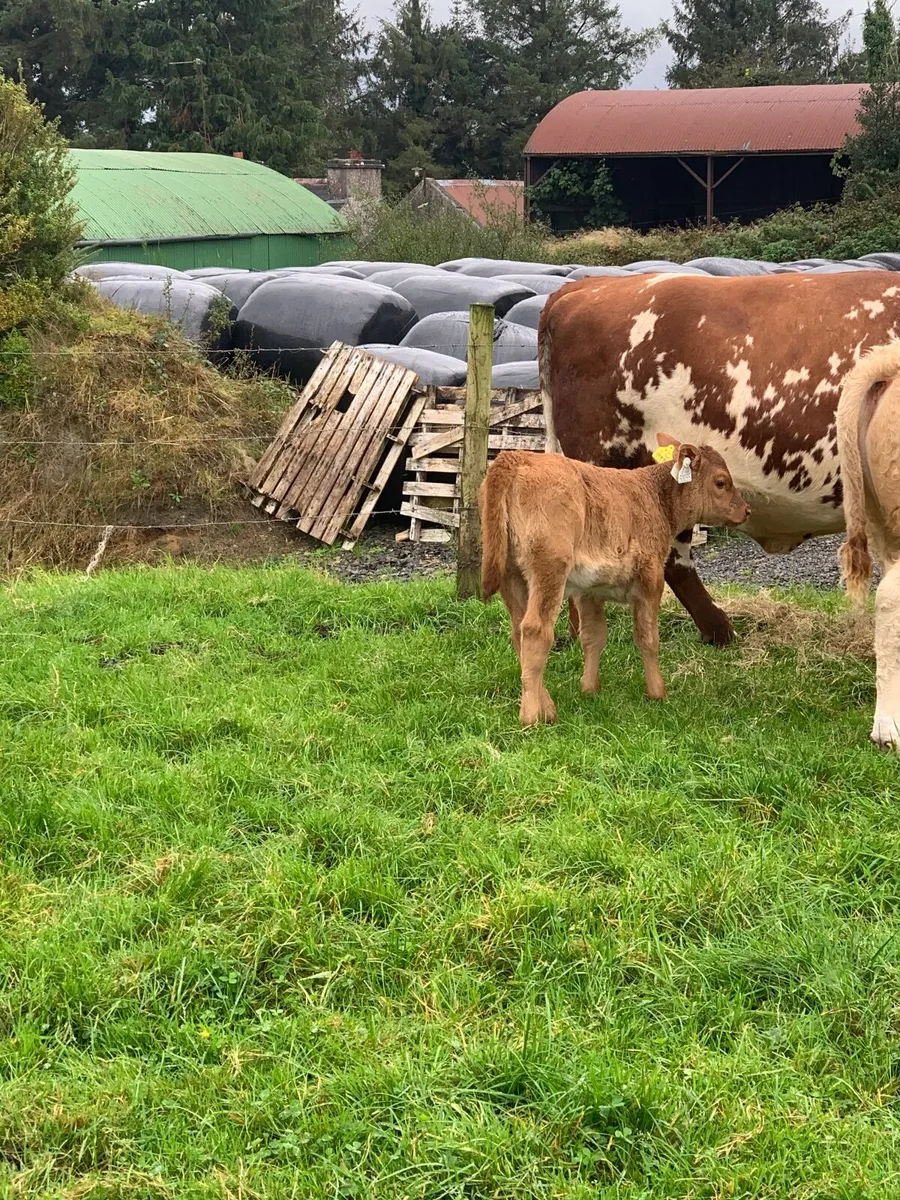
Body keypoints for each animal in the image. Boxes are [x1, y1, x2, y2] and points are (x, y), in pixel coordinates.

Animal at [479, 437, 750, 725]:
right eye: (721, 482)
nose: (746, 510)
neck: (656, 497)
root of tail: (515, 457)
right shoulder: (650, 580)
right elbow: (648, 638)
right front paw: (657, 692)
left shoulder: (589, 591)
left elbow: (593, 636)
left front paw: (589, 688)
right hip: (548, 571)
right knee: (535, 630)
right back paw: (531, 715)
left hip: (511, 577)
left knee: (518, 632)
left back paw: (548, 708)